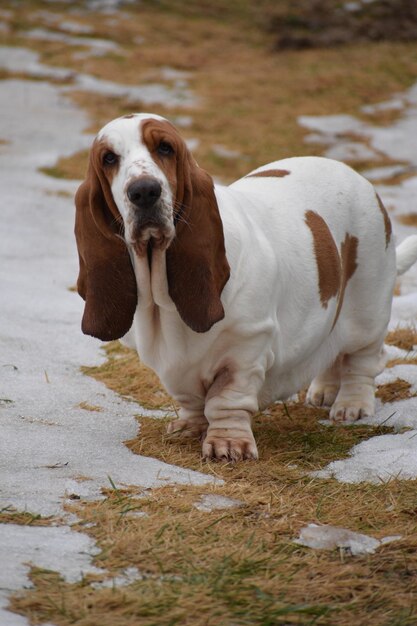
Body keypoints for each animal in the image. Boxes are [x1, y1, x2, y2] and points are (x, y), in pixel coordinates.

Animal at [74, 114, 416, 460]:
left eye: (165, 148)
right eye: (109, 158)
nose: (144, 191)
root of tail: (359, 178)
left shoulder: (245, 349)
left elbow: (226, 400)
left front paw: (227, 444)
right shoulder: (175, 370)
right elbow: (192, 401)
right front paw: (190, 427)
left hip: (367, 311)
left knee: (362, 361)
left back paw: (351, 405)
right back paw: (324, 391)